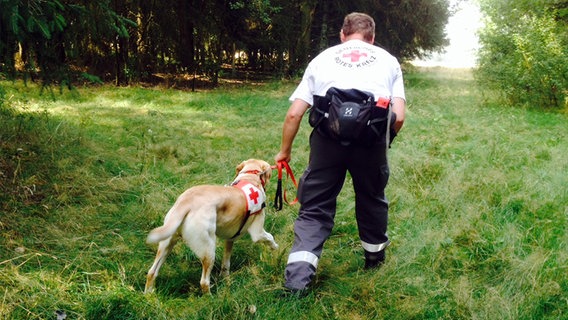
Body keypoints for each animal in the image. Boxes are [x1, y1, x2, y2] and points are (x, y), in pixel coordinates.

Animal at [143, 159, 278, 294]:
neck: (250, 176)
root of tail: (186, 202)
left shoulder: (230, 238)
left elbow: (226, 262)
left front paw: (226, 278)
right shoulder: (257, 233)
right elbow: (269, 237)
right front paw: (275, 248)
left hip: (166, 244)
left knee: (152, 272)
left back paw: (148, 294)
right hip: (208, 250)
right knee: (204, 282)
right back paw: (211, 297)